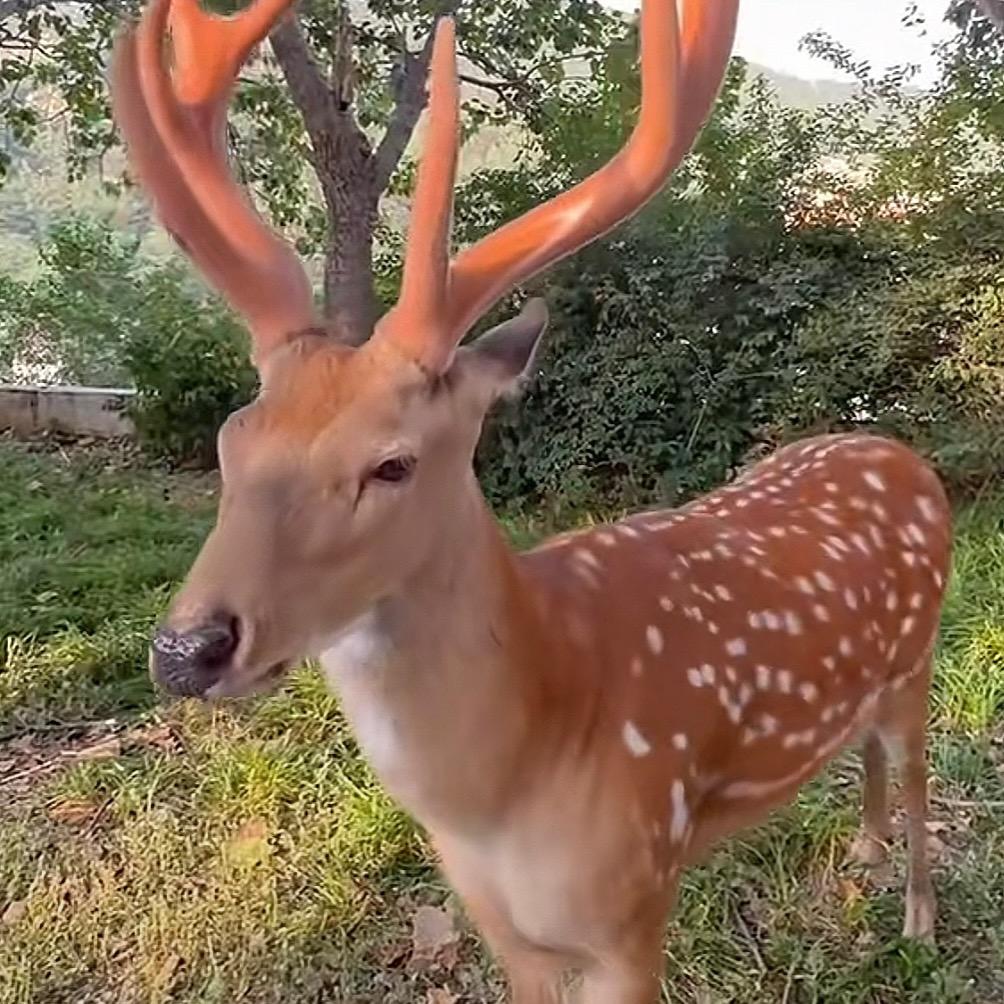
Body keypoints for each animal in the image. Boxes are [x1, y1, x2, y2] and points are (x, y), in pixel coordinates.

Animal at [112, 0, 952, 1000]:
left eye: (393, 465)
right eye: (233, 438)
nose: (185, 651)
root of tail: (897, 450)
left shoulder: (634, 904)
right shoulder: (503, 928)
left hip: (919, 659)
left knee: (918, 771)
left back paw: (917, 918)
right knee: (867, 750)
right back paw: (862, 853)